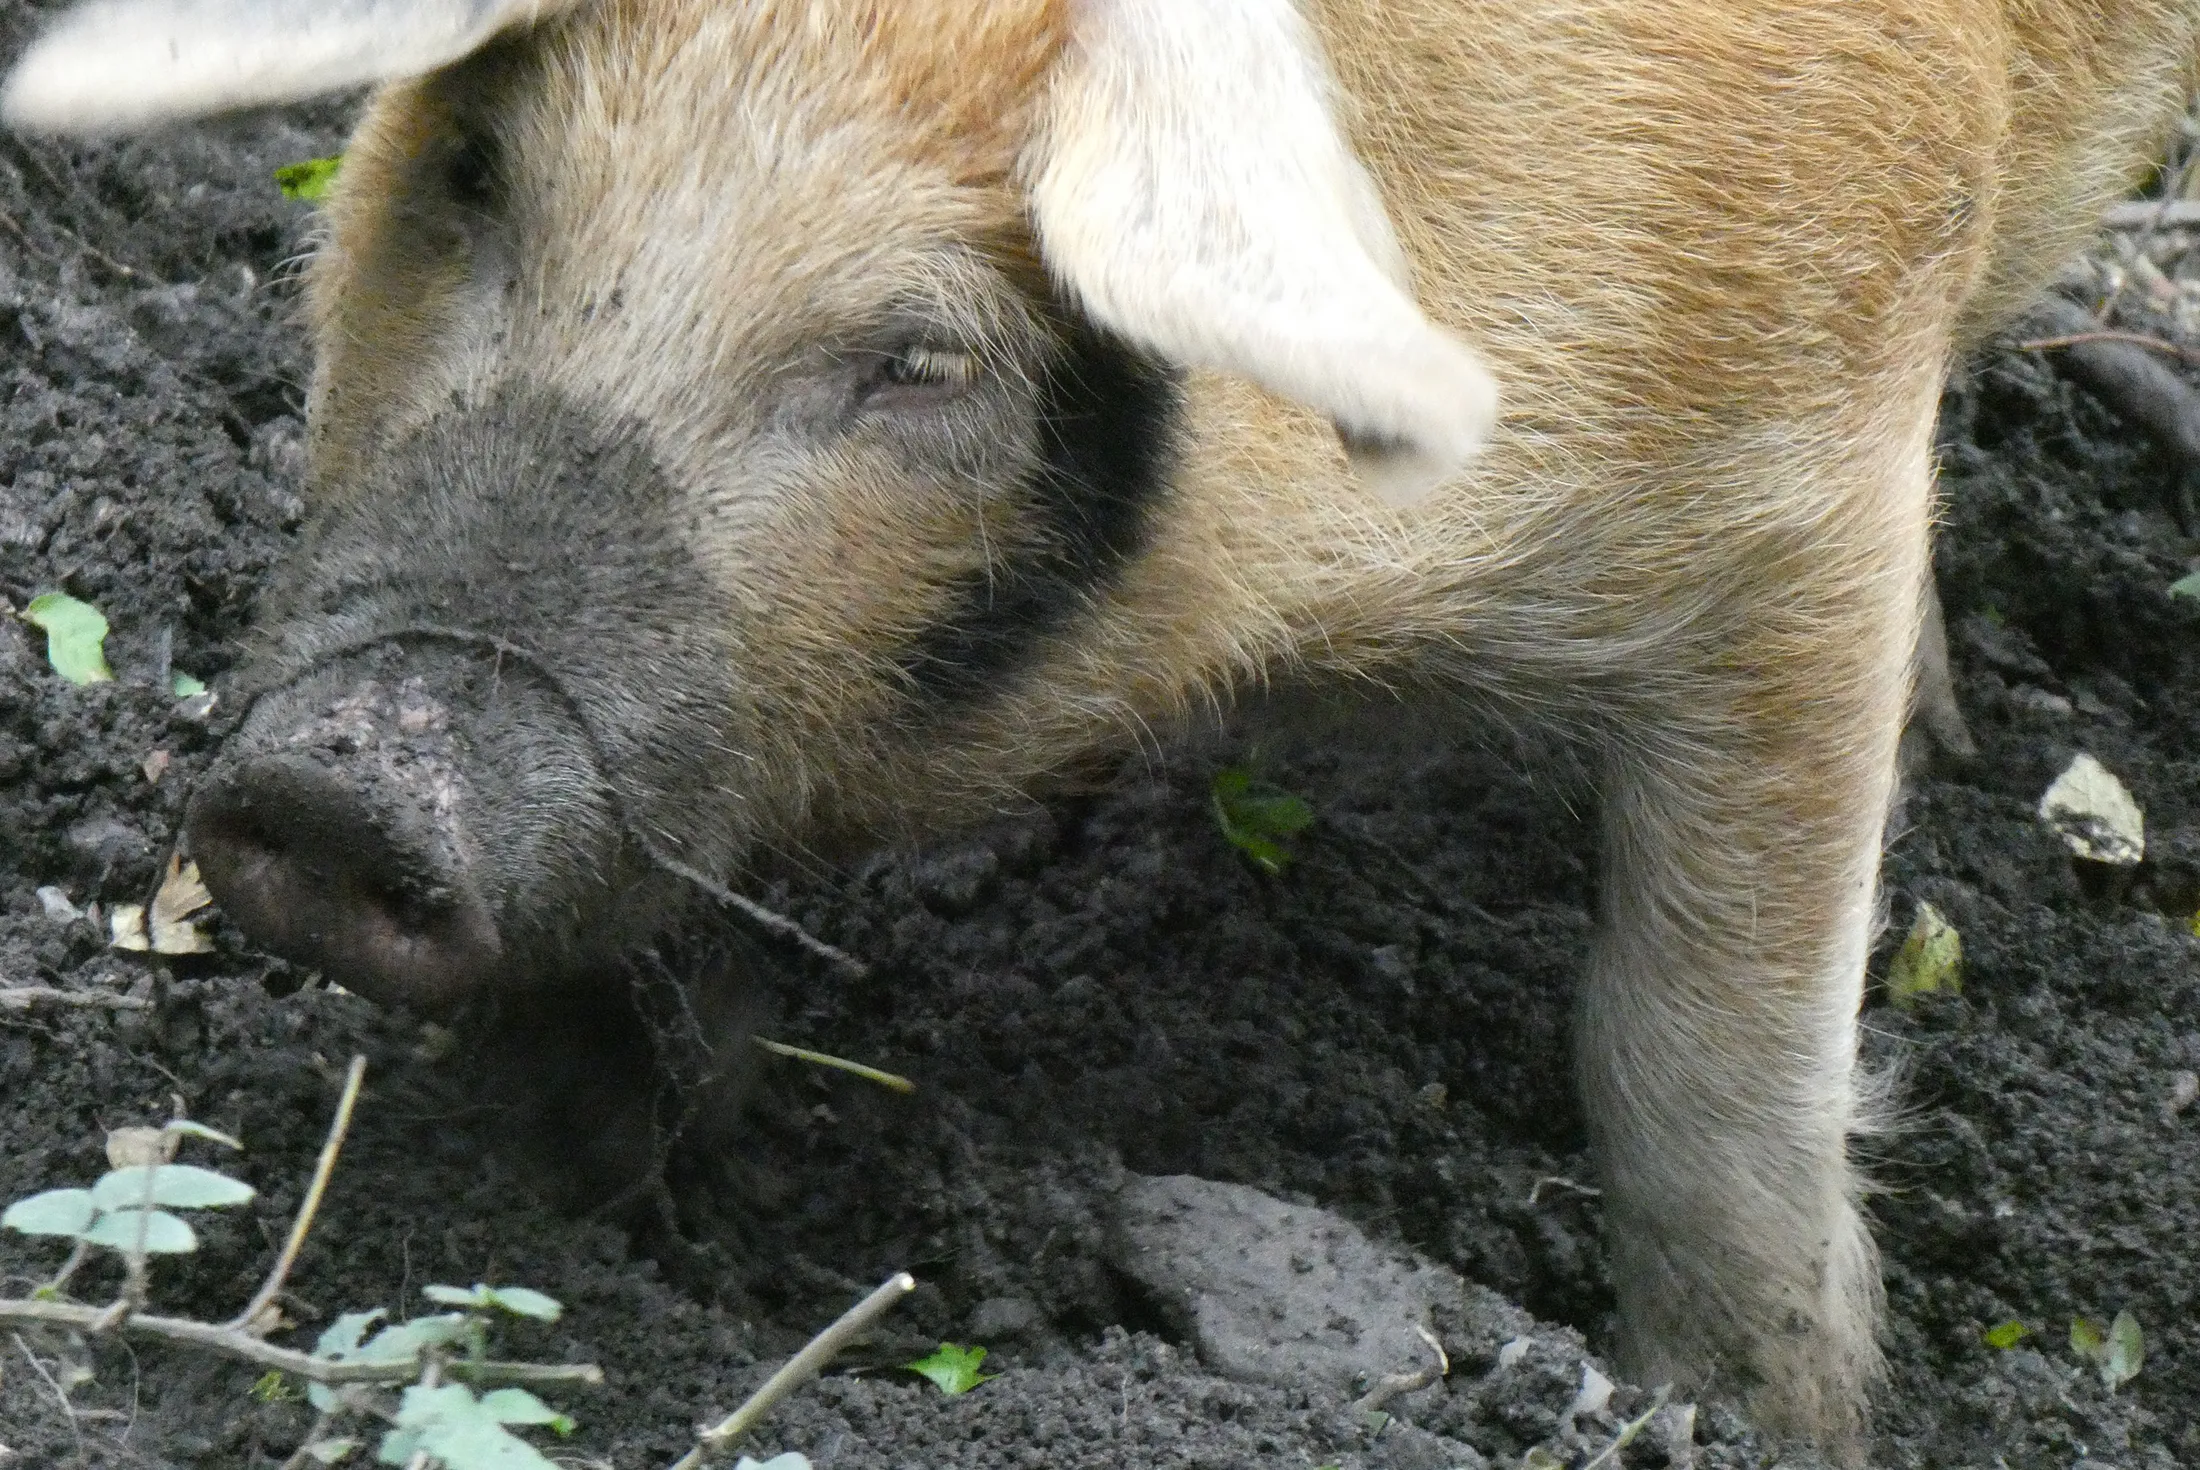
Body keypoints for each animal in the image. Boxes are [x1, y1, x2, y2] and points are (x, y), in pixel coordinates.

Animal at [9, 0, 2198, 1455]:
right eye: (479, 175)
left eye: (915, 358)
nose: (353, 776)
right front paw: (573, 1206)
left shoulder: (1802, 467)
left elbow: (1701, 1057)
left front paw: (1747, 1417)